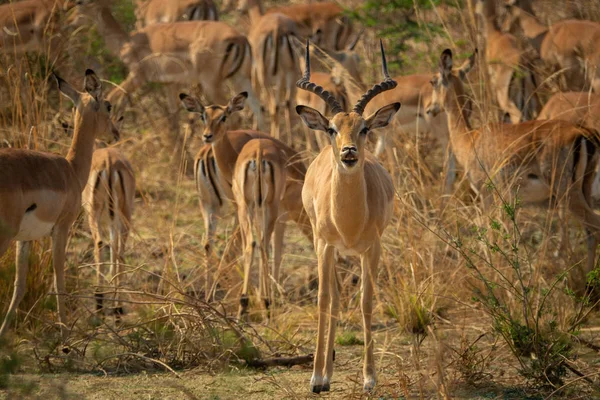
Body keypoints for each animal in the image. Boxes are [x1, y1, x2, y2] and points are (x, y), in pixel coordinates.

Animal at [0, 69, 118, 340]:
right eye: (108, 105)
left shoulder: (25, 239)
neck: (71, 170)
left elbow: (18, 287)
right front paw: (65, 341)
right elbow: (59, 282)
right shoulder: (61, 229)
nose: (116, 133)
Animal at [84, 147, 135, 318]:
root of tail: (108, 161)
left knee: (100, 243)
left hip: (96, 216)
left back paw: (100, 303)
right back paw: (117, 305)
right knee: (119, 252)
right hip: (123, 216)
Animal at [232, 139, 286, 320]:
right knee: (262, 246)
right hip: (268, 206)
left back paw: (245, 305)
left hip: (250, 206)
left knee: (252, 244)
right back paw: (266, 303)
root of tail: (259, 150)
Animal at [294, 41, 398, 394]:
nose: (348, 151)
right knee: (334, 299)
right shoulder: (325, 245)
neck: (349, 222)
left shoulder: (373, 248)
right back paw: (325, 375)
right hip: (323, 247)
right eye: (332, 128)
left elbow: (366, 302)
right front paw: (316, 378)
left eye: (364, 127)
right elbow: (324, 300)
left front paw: (369, 378)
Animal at [424, 48, 600, 282]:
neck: (469, 139)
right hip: (585, 188)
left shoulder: (487, 196)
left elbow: (491, 234)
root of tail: (583, 133)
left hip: (568, 193)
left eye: (433, 81)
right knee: (590, 233)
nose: (429, 109)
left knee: (595, 228)